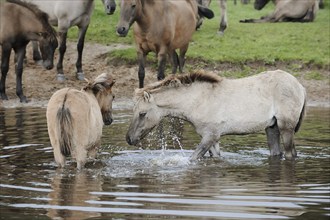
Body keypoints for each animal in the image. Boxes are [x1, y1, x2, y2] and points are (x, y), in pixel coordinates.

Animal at [125, 69, 306, 161]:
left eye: (142, 113)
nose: (129, 139)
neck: (198, 100)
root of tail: (300, 86)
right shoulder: (212, 138)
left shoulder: (209, 136)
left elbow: (192, 159)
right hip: (272, 127)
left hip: (286, 127)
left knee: (290, 154)